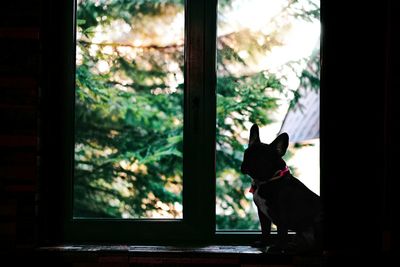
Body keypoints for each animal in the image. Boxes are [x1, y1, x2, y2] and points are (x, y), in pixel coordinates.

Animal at [241, 123, 322, 253]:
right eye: (246, 153)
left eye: (262, 159)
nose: (249, 163)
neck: (265, 181)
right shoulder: (262, 214)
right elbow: (265, 230)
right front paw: (263, 243)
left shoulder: (282, 215)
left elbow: (281, 233)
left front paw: (277, 247)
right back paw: (293, 246)